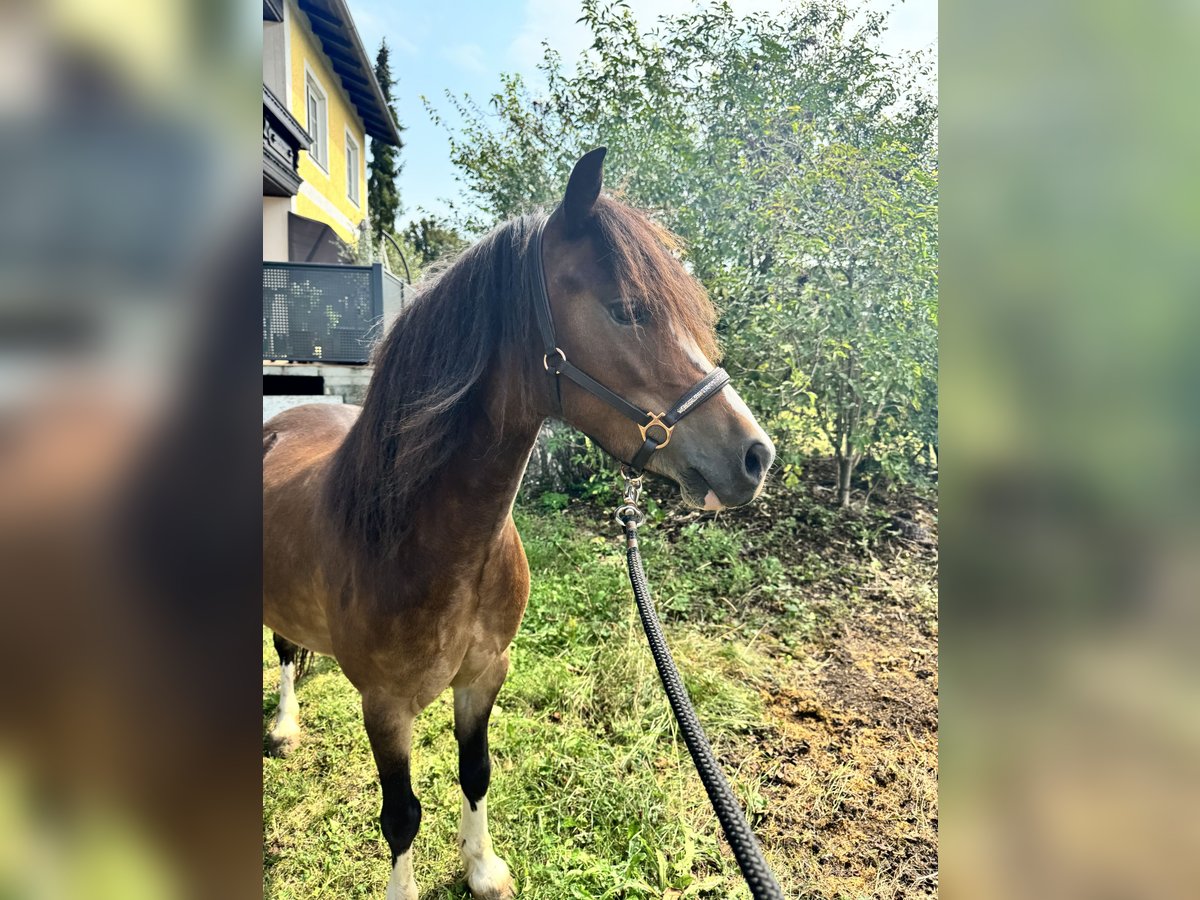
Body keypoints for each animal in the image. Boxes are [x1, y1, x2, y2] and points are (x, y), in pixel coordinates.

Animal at [260, 151, 777, 897]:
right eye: (626, 310)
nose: (756, 455)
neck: (433, 545)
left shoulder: (485, 676)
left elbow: (475, 771)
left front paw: (482, 868)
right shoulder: (385, 706)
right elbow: (401, 816)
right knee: (280, 651)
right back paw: (283, 727)